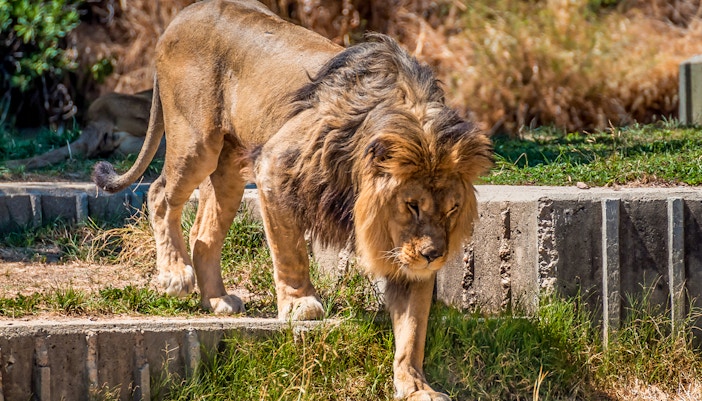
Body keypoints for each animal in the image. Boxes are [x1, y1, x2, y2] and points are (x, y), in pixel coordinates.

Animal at [92, 0, 492, 399]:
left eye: (453, 209)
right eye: (412, 205)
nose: (434, 256)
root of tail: (182, 14)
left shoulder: (403, 254)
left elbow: (413, 329)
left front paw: (416, 387)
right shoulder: (274, 165)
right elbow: (290, 250)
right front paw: (301, 303)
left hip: (230, 168)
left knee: (203, 235)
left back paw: (217, 299)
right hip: (196, 143)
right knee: (159, 194)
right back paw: (175, 273)